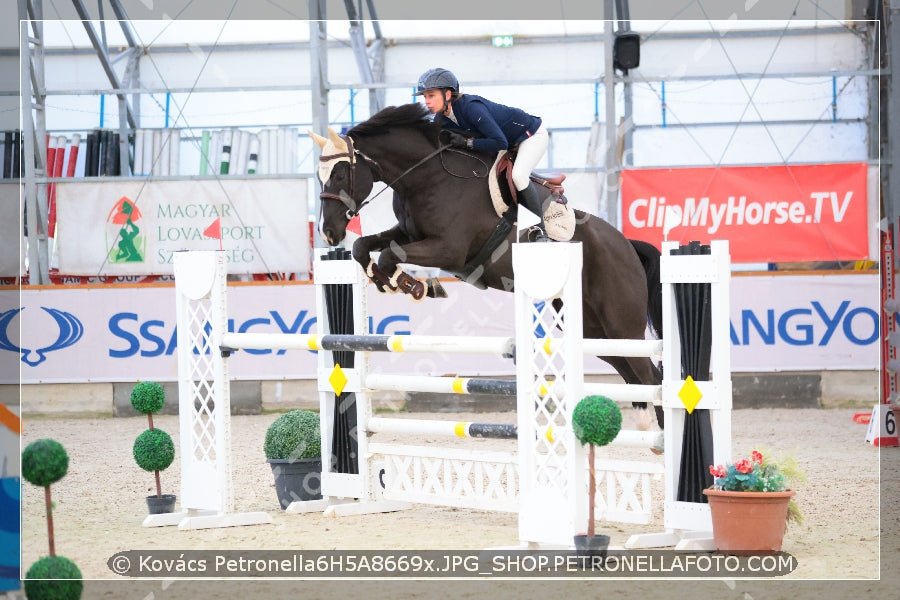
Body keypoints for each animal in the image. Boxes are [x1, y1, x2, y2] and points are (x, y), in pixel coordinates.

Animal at [312, 103, 664, 432]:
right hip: (592, 328)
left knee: (651, 376)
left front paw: (411, 285)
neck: (427, 178)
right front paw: (391, 280)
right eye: (320, 176)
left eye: (340, 175)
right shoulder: (408, 234)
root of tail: (626, 245)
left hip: (621, 324)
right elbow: (363, 246)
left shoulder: (448, 249)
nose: (328, 232)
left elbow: (388, 255)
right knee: (632, 370)